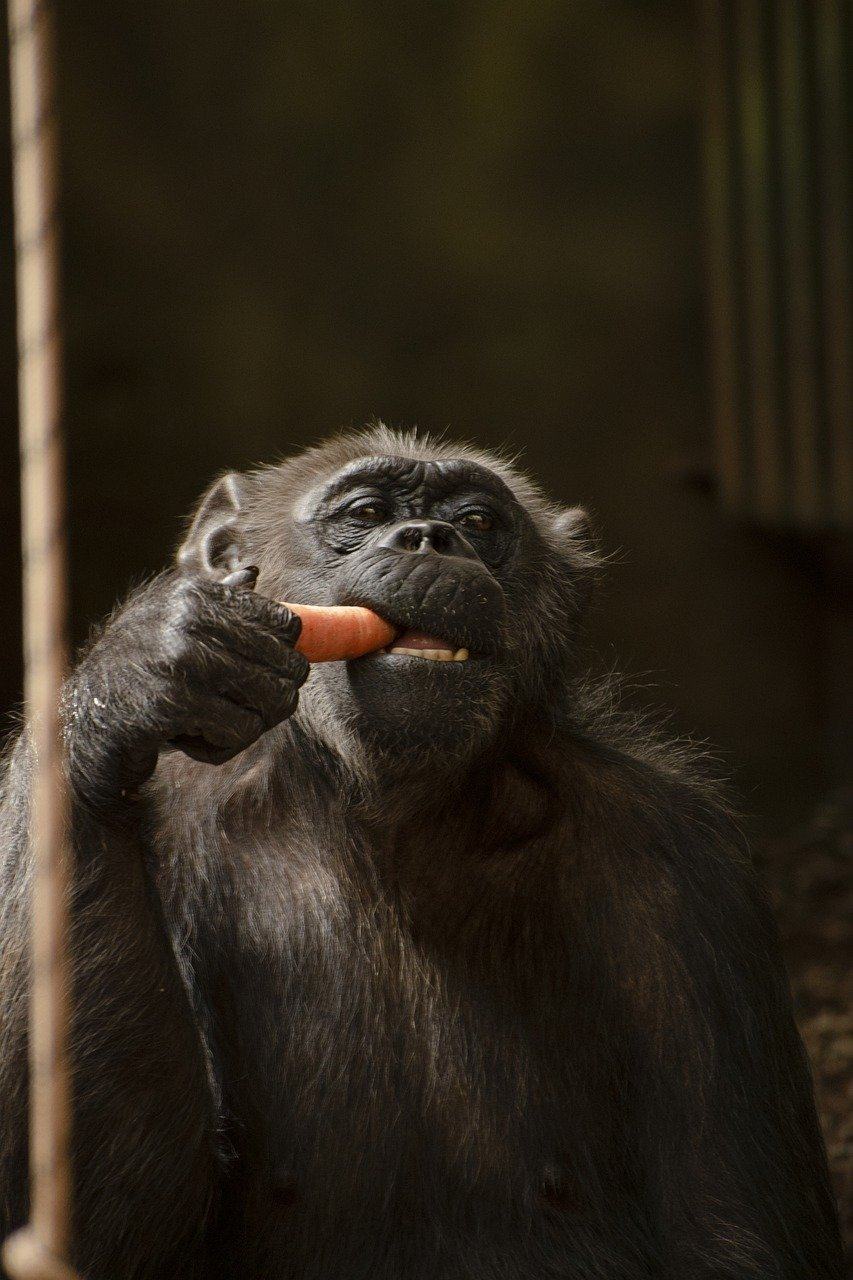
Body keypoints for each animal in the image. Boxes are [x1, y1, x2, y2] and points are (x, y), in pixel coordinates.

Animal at [0, 424, 835, 1274]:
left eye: (478, 523)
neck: (386, 814)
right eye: (366, 513)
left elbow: (725, 1226)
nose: (430, 538)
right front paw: (136, 677)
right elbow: (119, 1220)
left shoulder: (685, 865)